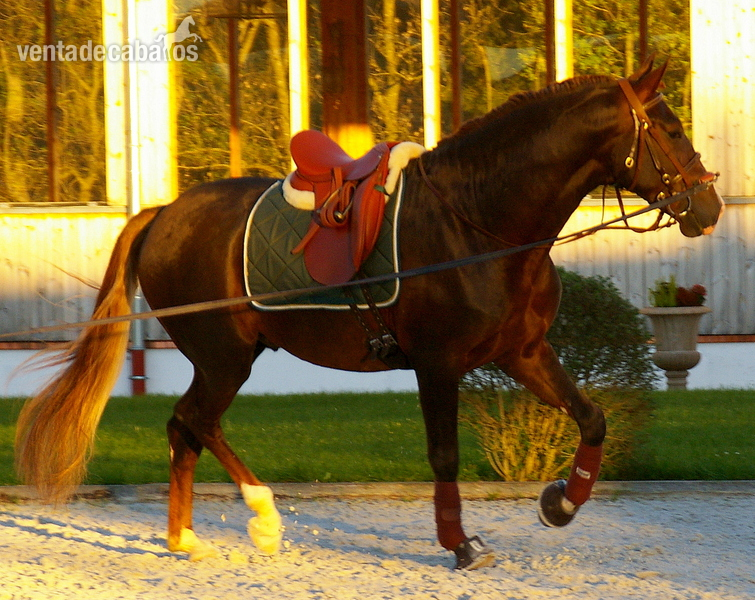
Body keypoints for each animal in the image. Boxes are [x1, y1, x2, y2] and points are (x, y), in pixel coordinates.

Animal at [15, 57, 723, 569]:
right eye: (670, 129)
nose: (710, 207)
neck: (478, 223)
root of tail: (164, 212)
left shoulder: (522, 354)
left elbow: (593, 418)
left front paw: (561, 503)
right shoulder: (438, 366)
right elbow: (444, 456)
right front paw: (461, 545)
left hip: (230, 357)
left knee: (190, 427)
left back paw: (190, 537)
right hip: (224, 357)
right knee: (192, 422)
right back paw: (253, 518)